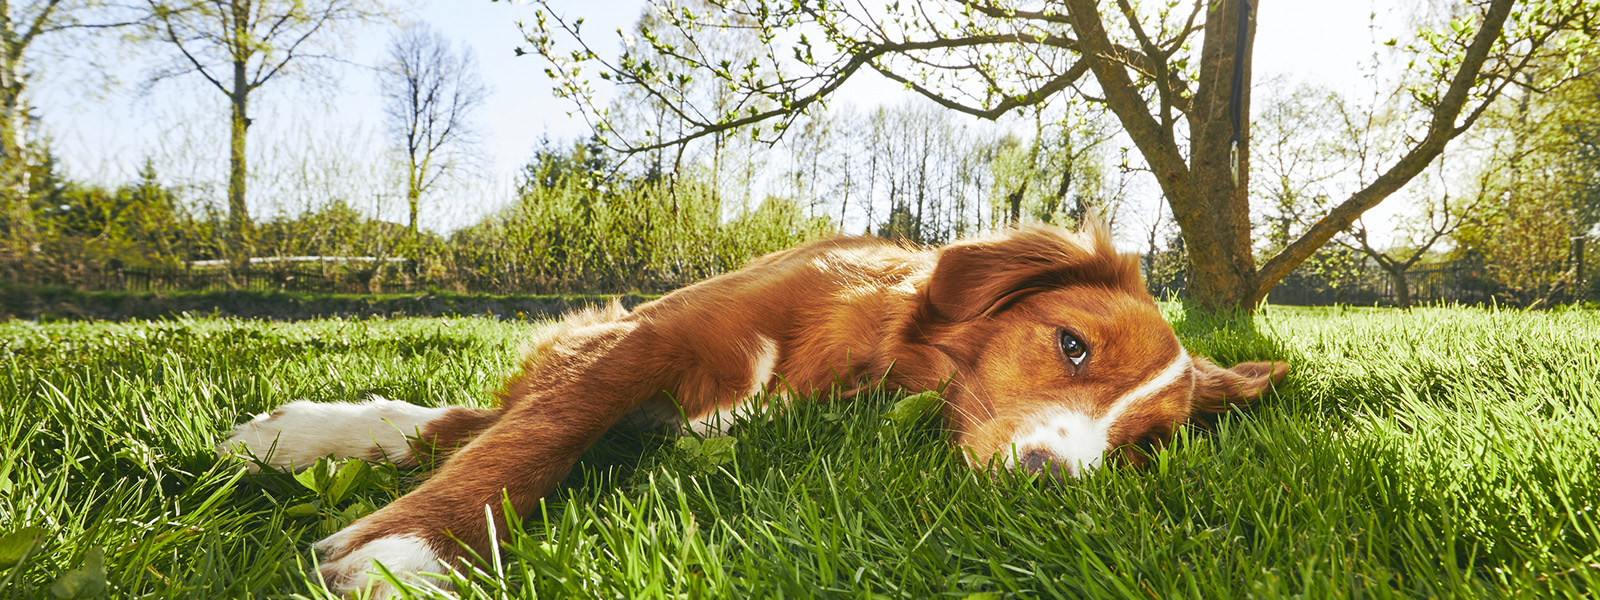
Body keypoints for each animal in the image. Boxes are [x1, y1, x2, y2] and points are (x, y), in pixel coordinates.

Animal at [219, 222, 1286, 598]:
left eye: (1145, 448)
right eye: (1071, 345)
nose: (1050, 483)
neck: (865, 347)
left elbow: (513, 430)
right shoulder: (646, 338)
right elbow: (537, 433)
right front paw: (414, 546)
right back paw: (300, 433)